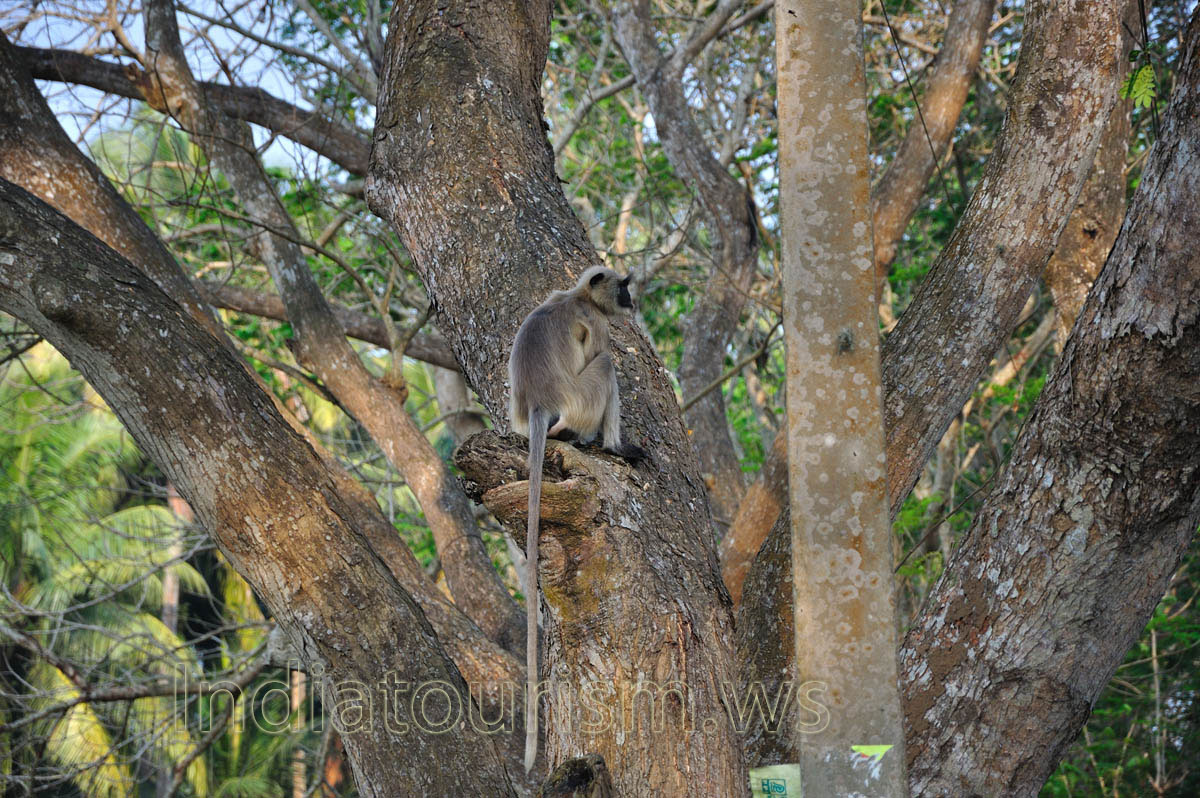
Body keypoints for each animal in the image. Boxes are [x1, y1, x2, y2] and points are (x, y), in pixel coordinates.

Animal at [508, 265, 646, 773]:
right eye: (621, 285)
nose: (629, 298)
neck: (575, 296)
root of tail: (539, 405)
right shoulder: (598, 324)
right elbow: (601, 350)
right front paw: (615, 445)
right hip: (580, 400)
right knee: (605, 366)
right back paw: (602, 443)